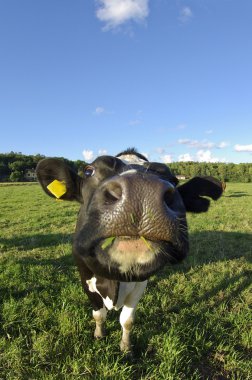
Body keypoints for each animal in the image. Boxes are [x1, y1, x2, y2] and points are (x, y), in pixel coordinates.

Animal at [36, 147, 222, 354]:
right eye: (89, 171)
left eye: (173, 180)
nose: (142, 190)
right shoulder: (85, 279)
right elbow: (98, 314)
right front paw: (99, 334)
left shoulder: (140, 283)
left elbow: (127, 320)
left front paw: (125, 346)